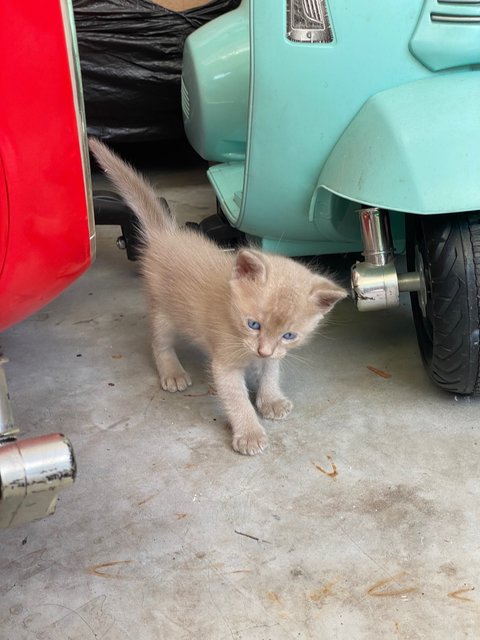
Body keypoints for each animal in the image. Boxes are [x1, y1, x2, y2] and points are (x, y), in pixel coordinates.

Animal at [89, 138, 344, 452]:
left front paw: (270, 399)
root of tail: (167, 235)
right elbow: (236, 399)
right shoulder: (224, 363)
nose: (262, 350)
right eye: (253, 324)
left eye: (289, 335)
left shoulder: (275, 352)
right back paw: (172, 372)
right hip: (164, 310)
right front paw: (250, 433)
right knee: (159, 342)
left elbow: (271, 371)